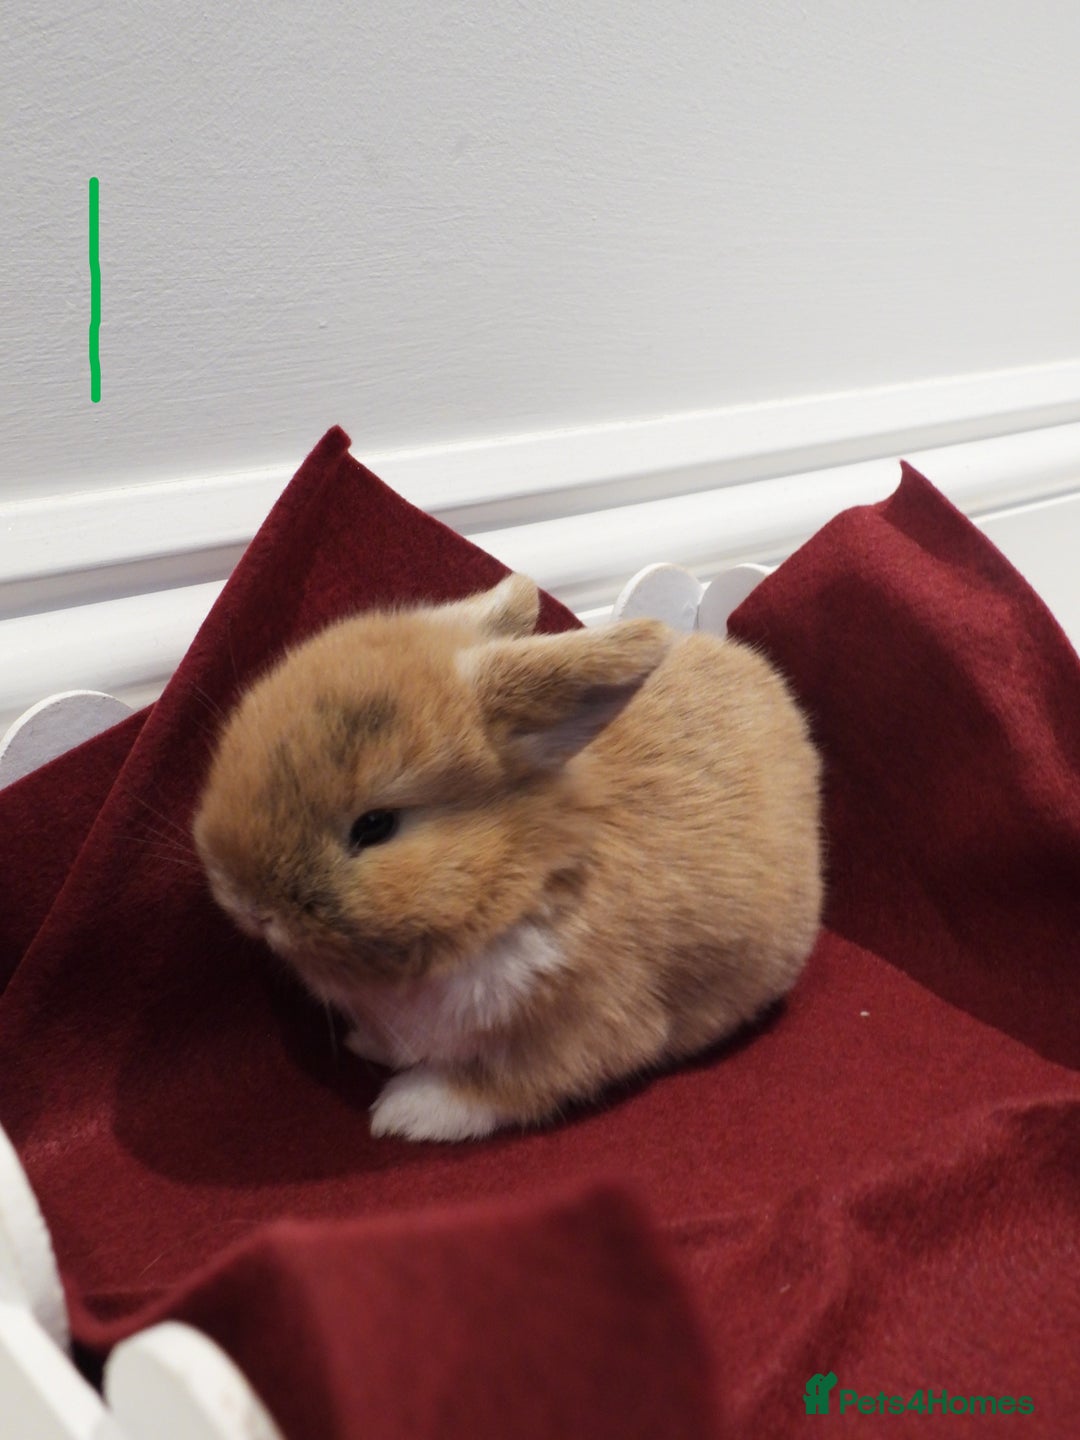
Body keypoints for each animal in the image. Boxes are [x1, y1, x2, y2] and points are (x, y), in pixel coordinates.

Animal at [192, 572, 823, 1142]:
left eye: (375, 826)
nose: (246, 905)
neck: (522, 879)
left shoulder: (581, 1031)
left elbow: (498, 1087)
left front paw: (404, 1112)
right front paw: (365, 1043)